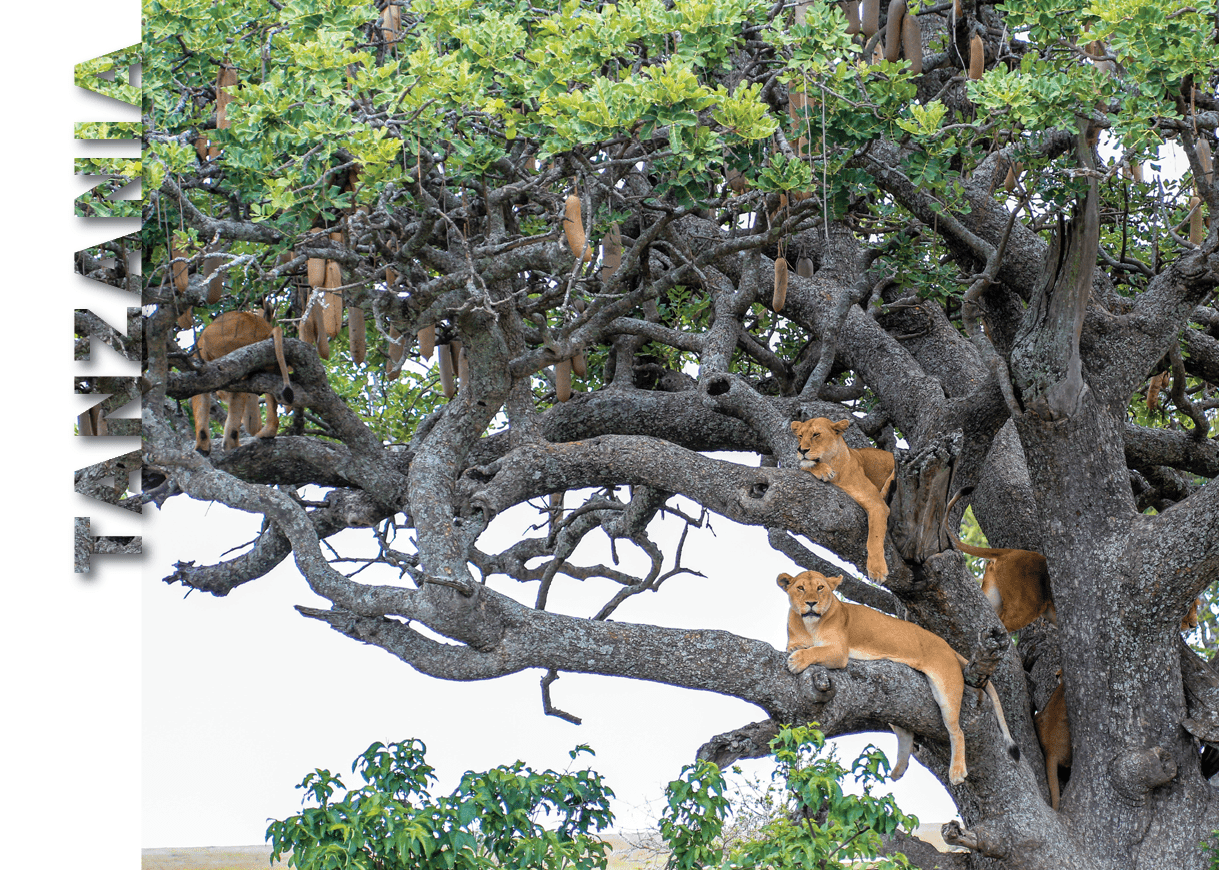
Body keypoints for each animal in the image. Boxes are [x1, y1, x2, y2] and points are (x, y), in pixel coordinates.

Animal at [192, 310, 293, 454]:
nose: (219, 395)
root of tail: (266, 329)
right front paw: (227, 445)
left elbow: (200, 399)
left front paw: (201, 447)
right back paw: (266, 433)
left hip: (219, 342)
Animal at [778, 569, 1019, 785]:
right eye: (800, 588)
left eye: (821, 588)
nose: (811, 603)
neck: (810, 625)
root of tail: (948, 647)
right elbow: (797, 647)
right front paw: (797, 652)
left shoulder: (839, 651)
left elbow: (815, 652)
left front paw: (797, 661)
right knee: (905, 733)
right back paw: (898, 770)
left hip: (946, 689)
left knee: (956, 731)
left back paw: (957, 772)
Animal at [791, 418, 894, 581]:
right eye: (800, 435)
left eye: (816, 434)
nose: (801, 450)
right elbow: (806, 466)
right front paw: (823, 471)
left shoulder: (876, 503)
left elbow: (874, 538)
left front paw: (877, 570)